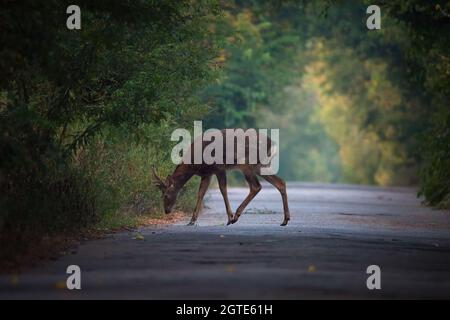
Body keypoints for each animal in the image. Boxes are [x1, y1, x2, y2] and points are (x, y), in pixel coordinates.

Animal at [152, 129, 292, 226]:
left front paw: (229, 217)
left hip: (245, 162)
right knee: (280, 182)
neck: (195, 164)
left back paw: (236, 216)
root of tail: (273, 144)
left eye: (165, 195)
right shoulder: (207, 173)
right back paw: (285, 220)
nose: (166, 211)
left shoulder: (219, 168)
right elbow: (201, 193)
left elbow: (223, 189)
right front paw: (192, 220)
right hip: (260, 165)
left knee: (256, 186)